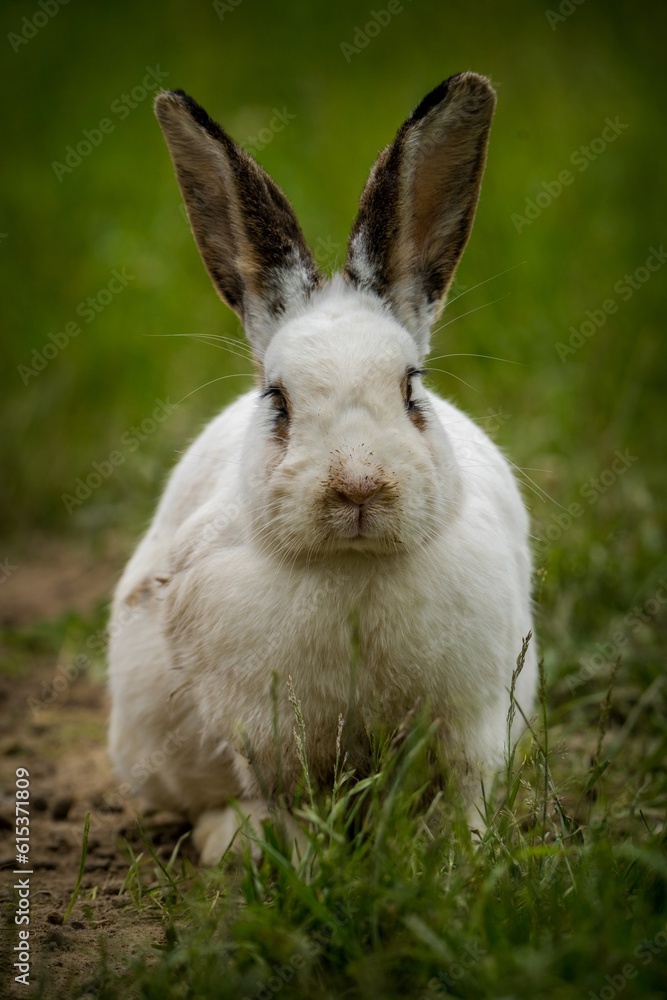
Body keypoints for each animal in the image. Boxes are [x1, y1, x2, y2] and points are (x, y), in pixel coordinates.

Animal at [107, 71, 537, 865]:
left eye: (410, 390)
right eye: (278, 400)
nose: (358, 486)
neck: (354, 565)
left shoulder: (473, 720)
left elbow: (467, 794)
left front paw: (463, 867)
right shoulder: (274, 739)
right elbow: (296, 811)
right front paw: (307, 871)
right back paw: (230, 842)